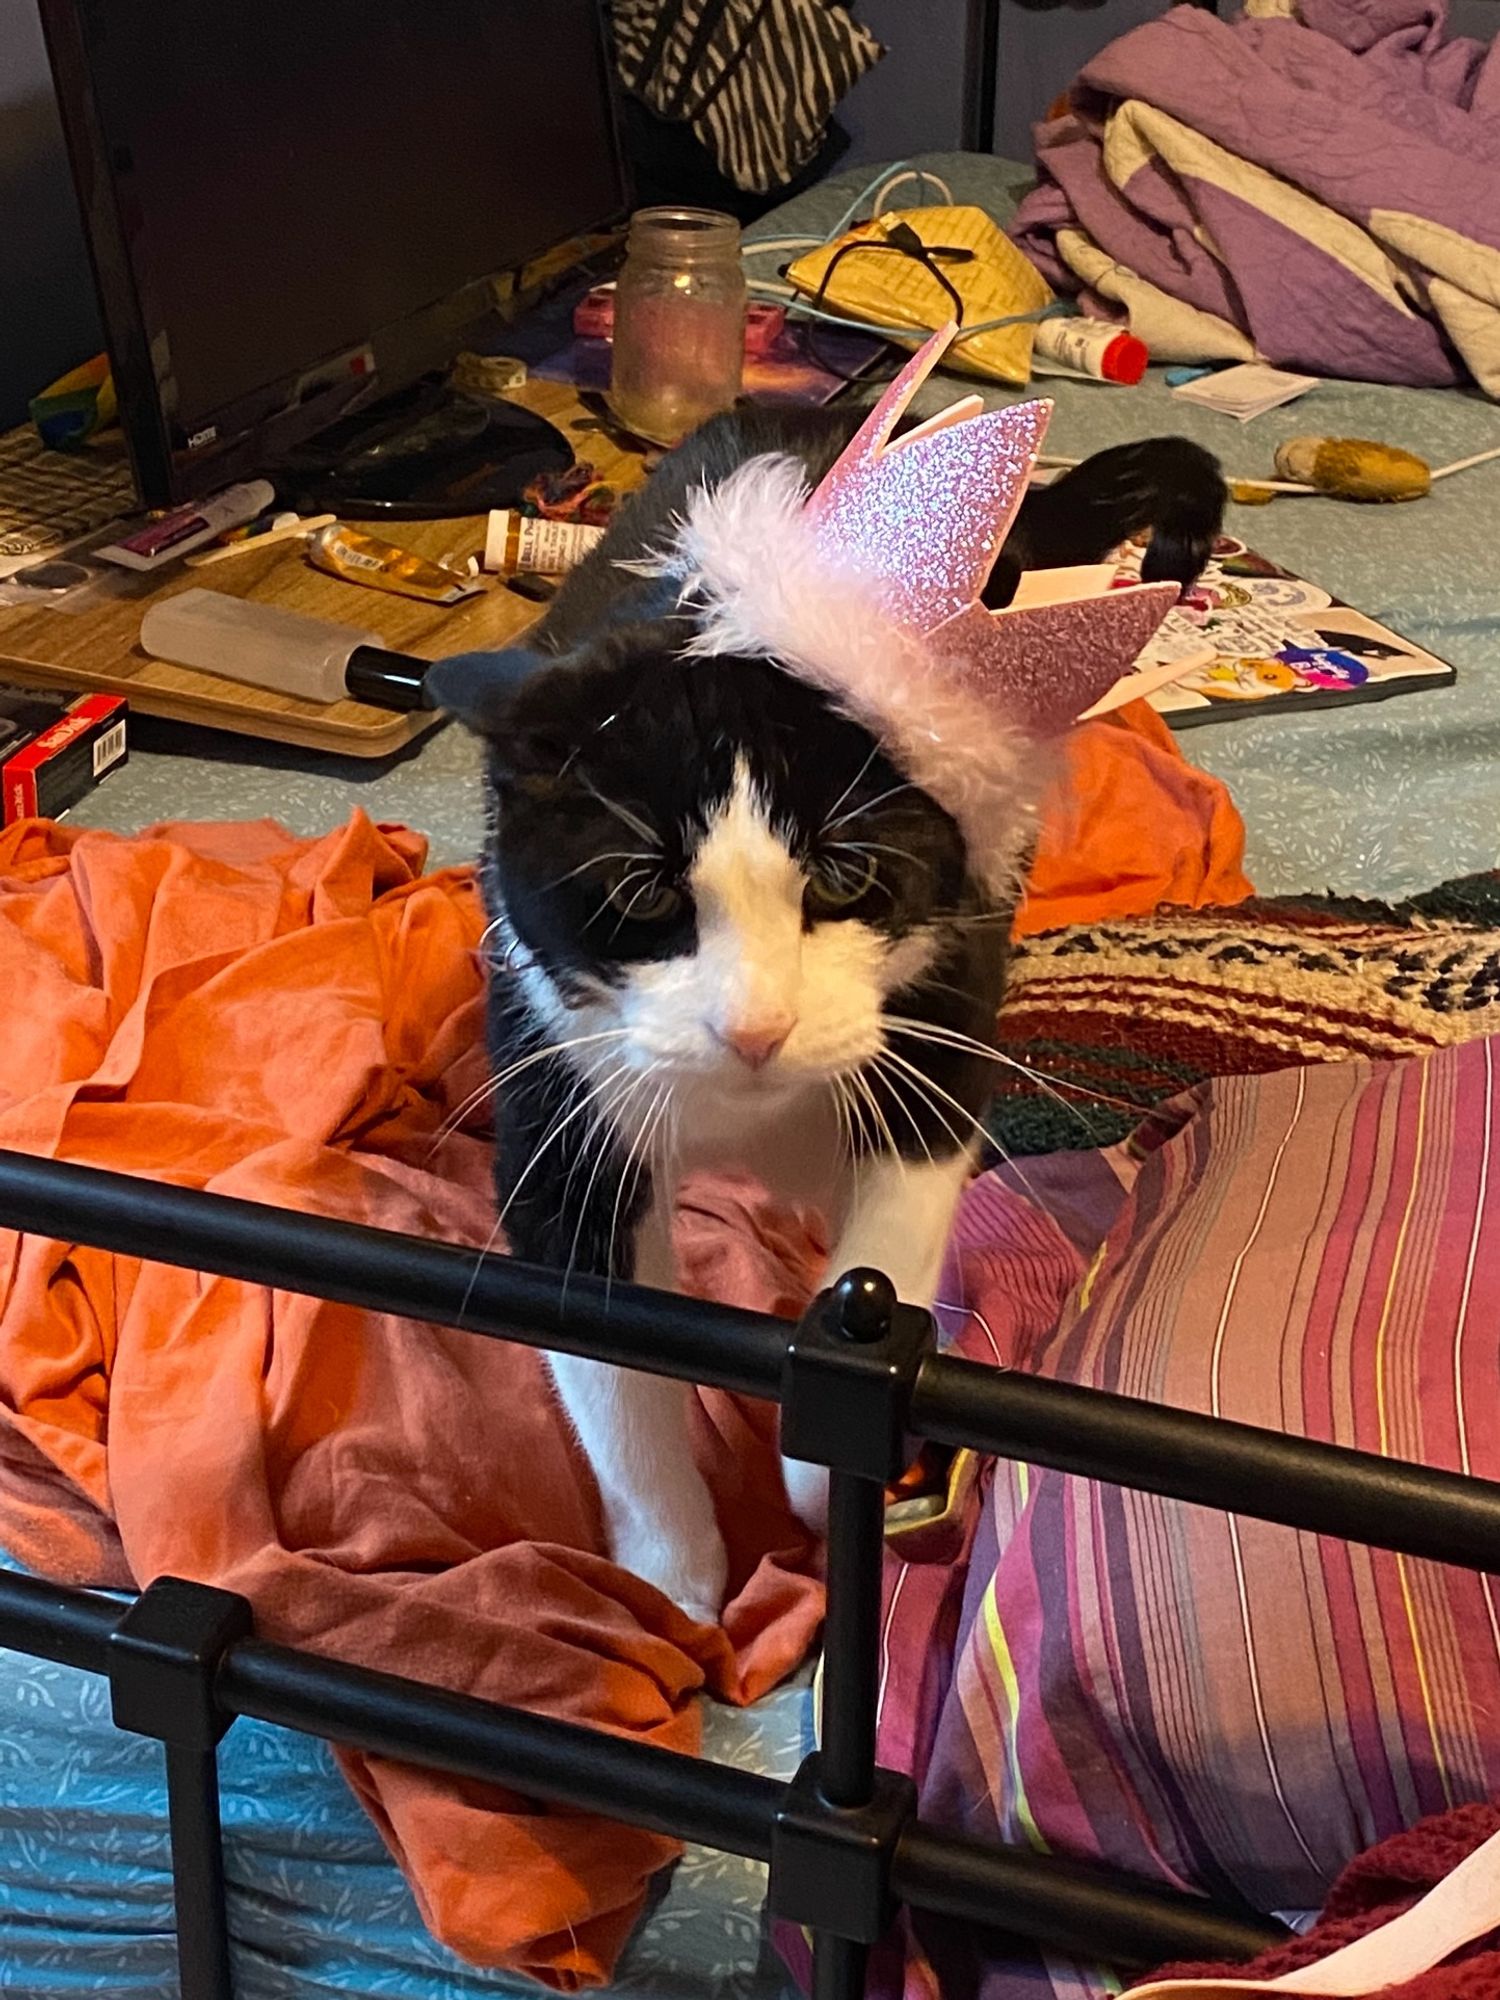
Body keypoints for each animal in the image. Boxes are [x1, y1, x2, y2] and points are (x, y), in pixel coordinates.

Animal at [432, 394, 1224, 1624]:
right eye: (643, 895)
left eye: (847, 877)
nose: (754, 1029)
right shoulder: (557, 1088)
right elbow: (613, 1368)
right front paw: (673, 1585)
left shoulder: (941, 1027)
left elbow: (884, 1258)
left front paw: (819, 1480)